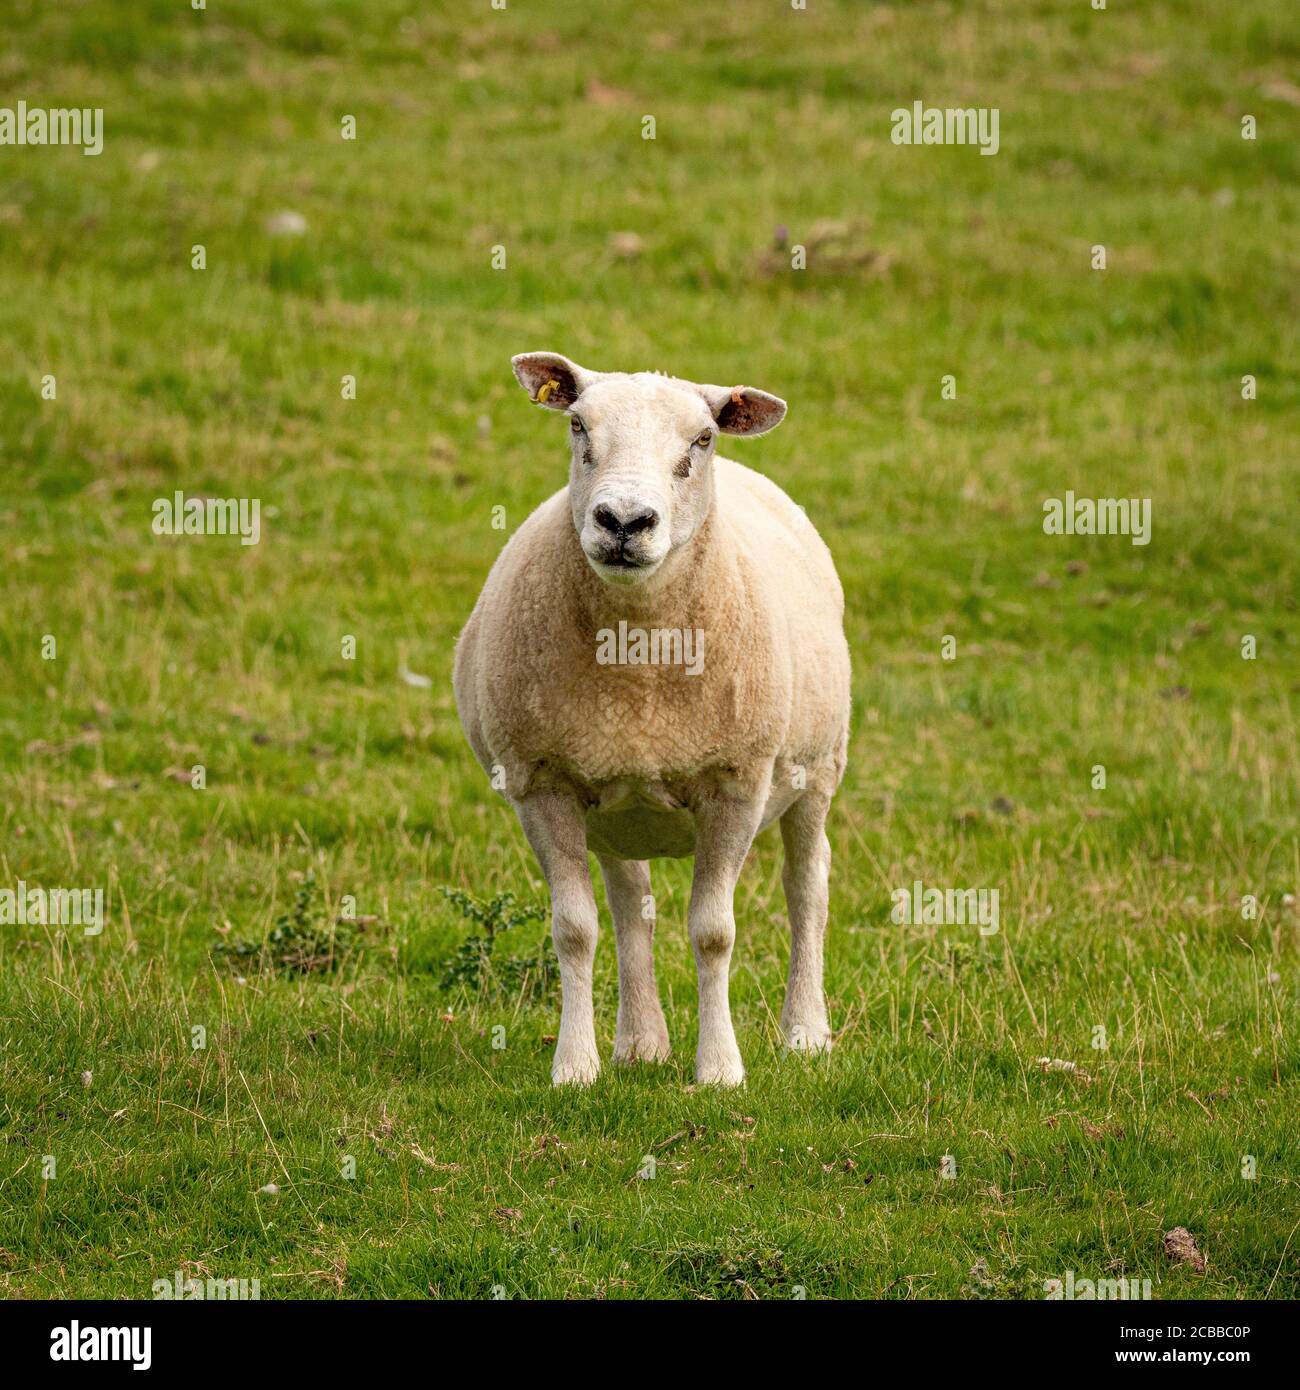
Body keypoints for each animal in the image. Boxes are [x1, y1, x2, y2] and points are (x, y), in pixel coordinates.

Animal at [453, 353, 851, 1086]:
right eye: (578, 425)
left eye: (703, 440)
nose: (623, 521)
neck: (636, 659)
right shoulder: (541, 781)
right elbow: (575, 929)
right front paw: (574, 1067)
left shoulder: (736, 782)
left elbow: (714, 932)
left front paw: (719, 1069)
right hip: (616, 804)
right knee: (629, 903)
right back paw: (641, 1042)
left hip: (818, 769)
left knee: (808, 885)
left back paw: (805, 1031)